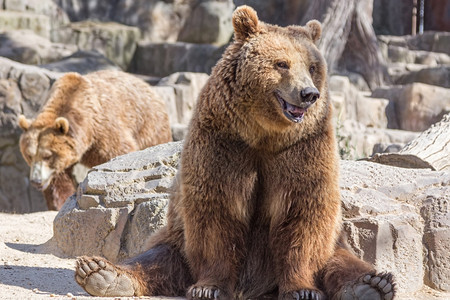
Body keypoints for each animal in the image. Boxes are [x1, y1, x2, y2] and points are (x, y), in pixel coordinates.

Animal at [18, 69, 172, 211]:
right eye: (29, 155)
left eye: (47, 156)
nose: (36, 181)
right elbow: (59, 180)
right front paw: (60, 203)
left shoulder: (103, 130)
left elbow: (119, 152)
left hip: (148, 124)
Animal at [72, 5, 396, 300]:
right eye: (282, 64)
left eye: (312, 67)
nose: (308, 94)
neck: (264, 134)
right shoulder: (224, 143)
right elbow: (217, 210)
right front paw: (208, 288)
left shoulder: (303, 148)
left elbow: (303, 212)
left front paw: (303, 290)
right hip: (178, 239)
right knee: (156, 258)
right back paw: (101, 273)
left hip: (336, 243)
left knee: (342, 261)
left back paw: (372, 284)